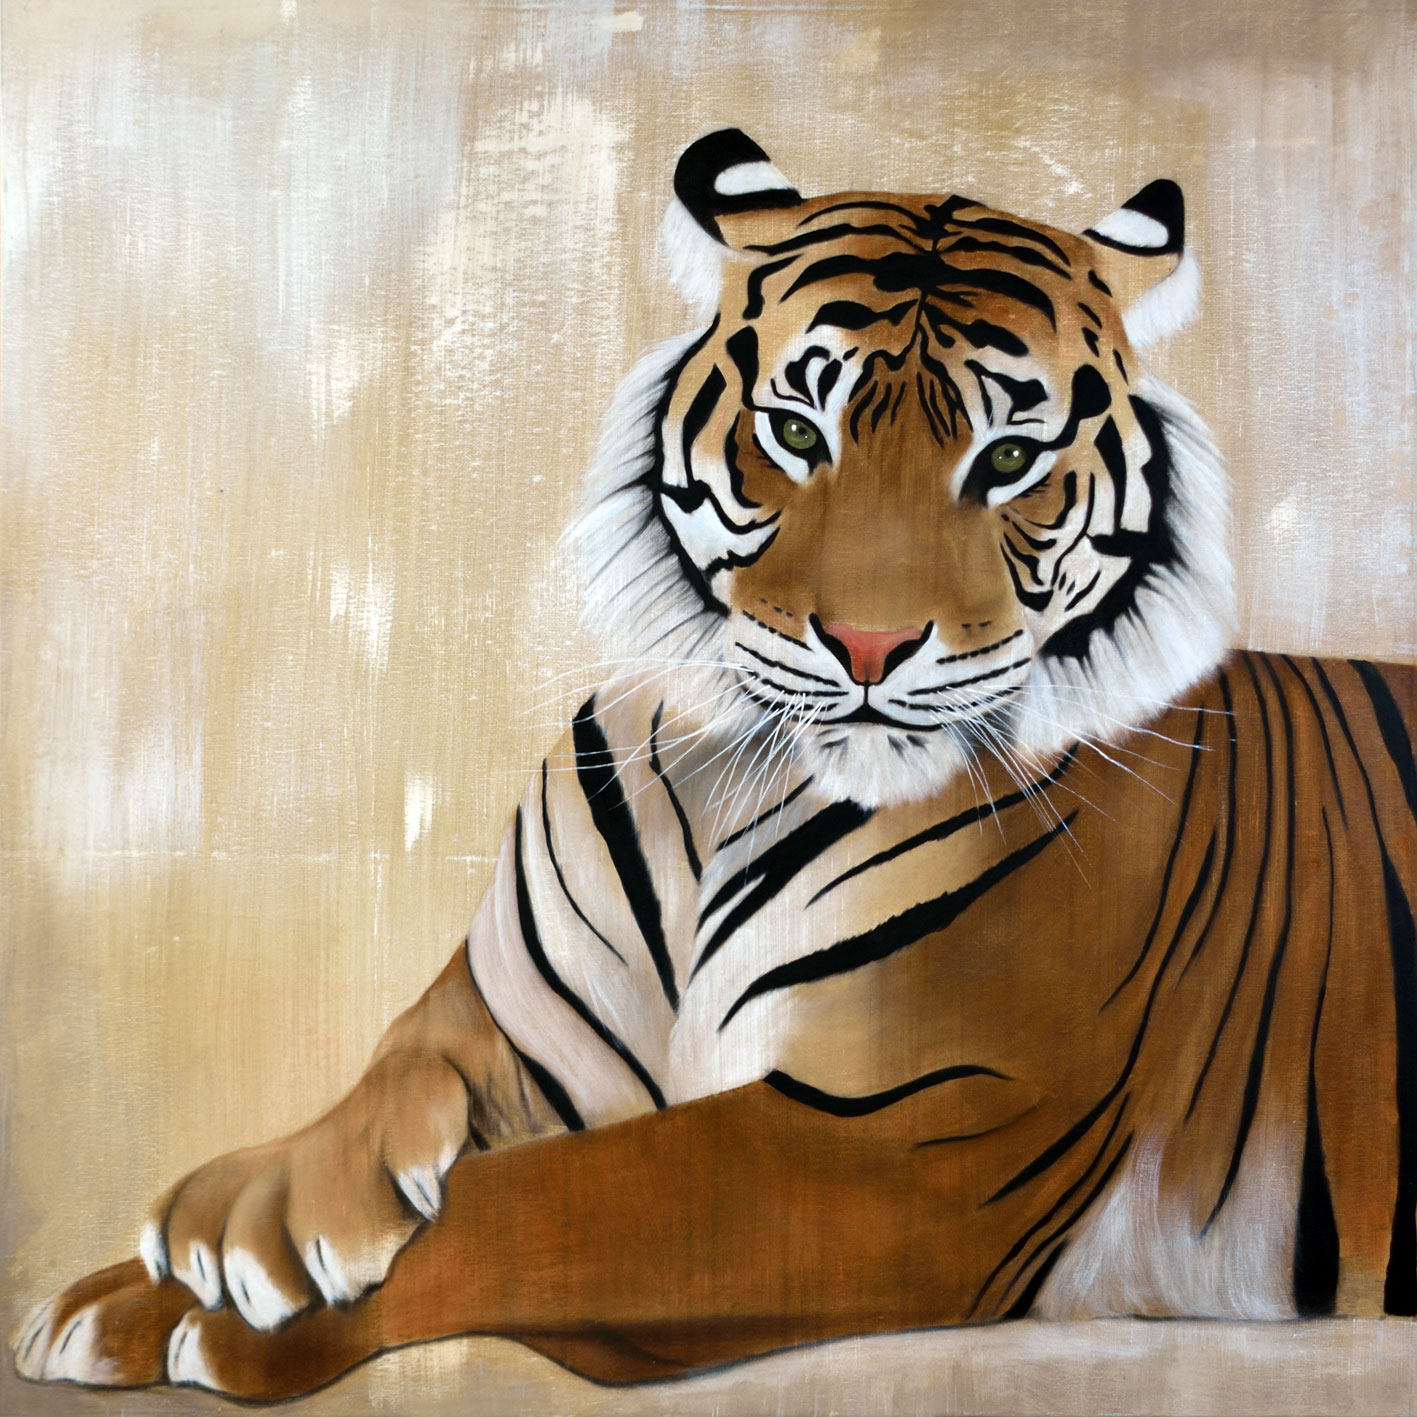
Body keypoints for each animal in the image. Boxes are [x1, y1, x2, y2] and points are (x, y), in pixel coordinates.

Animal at [15, 128, 1417, 1401]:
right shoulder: (530, 1027)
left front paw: (229, 1313)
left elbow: (531, 1202)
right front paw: (187, 1252)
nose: (867, 644)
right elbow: (401, 1058)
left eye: (1009, 460)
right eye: (795, 430)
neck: (731, 780)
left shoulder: (909, 1136)